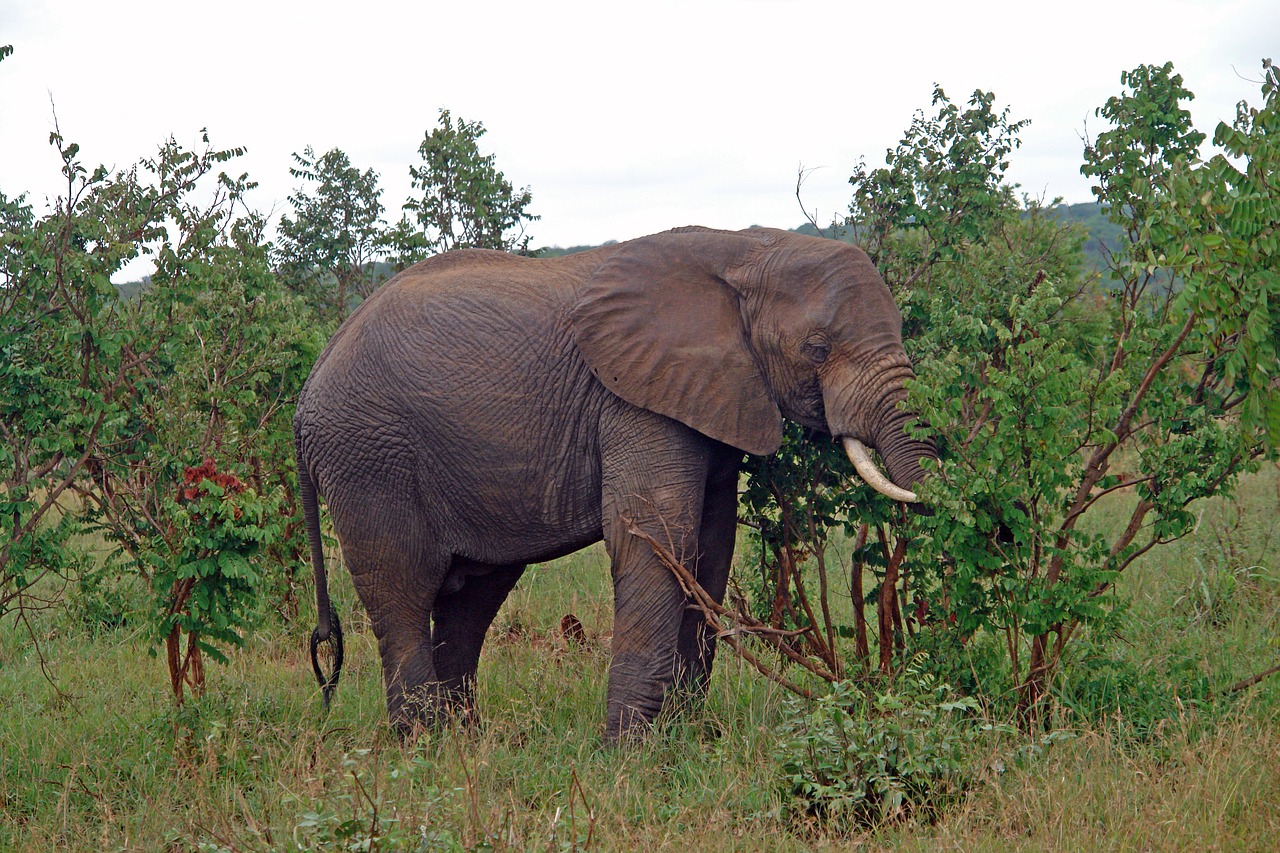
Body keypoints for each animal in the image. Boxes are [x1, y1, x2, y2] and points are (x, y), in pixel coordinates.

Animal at [296, 224, 942, 737]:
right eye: (817, 348)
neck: (746, 249)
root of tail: (305, 398)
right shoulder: (635, 398)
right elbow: (653, 537)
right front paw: (628, 752)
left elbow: (709, 550)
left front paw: (685, 739)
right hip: (369, 456)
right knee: (402, 588)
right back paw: (425, 747)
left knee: (471, 597)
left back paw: (467, 742)